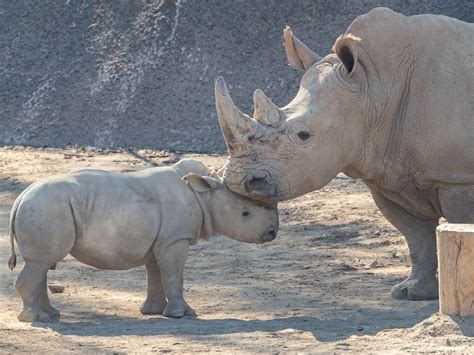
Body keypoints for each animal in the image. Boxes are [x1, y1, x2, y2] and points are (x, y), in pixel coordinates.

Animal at [6, 160, 278, 324]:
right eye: (245, 214)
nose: (272, 233)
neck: (204, 196)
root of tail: (20, 197)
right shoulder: (175, 239)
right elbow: (174, 276)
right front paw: (183, 314)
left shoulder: (162, 241)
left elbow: (156, 275)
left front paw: (153, 312)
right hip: (46, 208)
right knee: (40, 263)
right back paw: (35, 319)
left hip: (45, 208)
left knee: (41, 265)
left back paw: (50, 316)